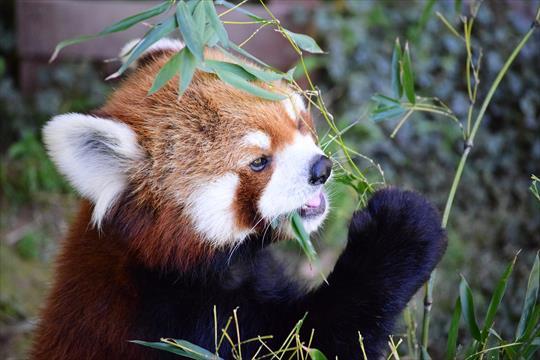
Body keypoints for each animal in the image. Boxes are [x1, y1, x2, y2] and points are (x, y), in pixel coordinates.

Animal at [31, 38, 446, 358]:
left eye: (299, 122)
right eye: (259, 162)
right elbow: (314, 340)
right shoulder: (179, 327)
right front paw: (400, 231)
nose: (321, 169)